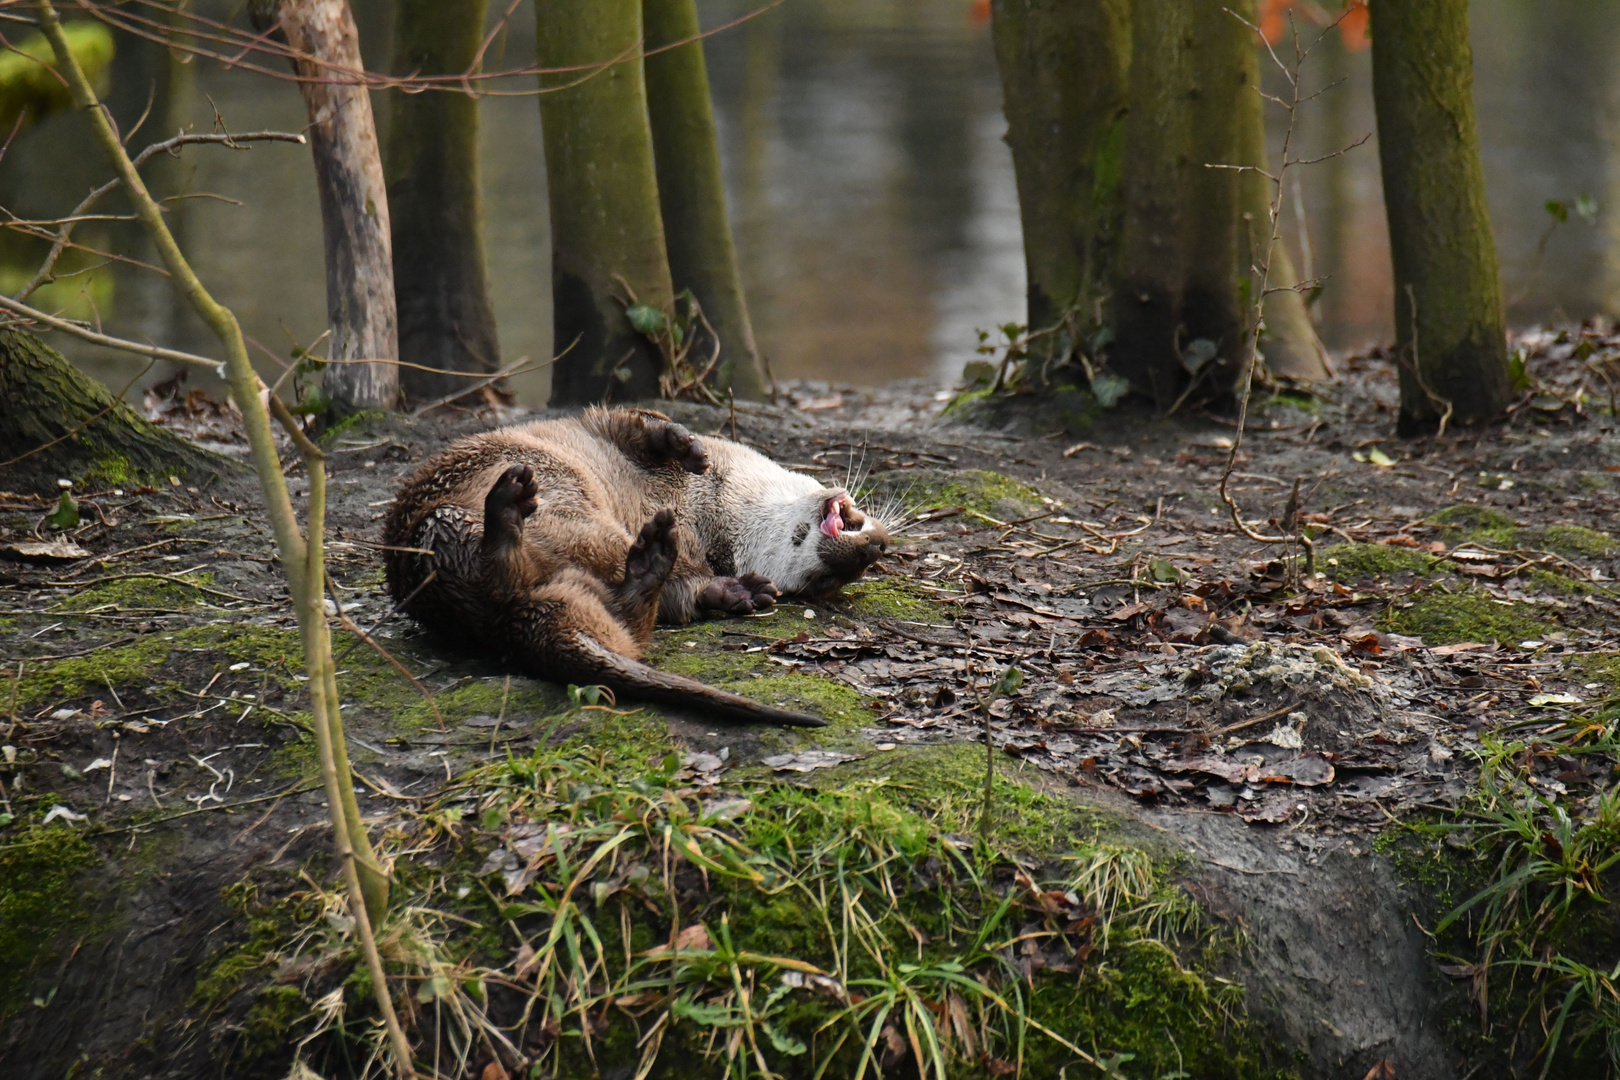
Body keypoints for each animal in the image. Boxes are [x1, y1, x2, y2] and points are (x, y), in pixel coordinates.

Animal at [382, 409, 887, 731]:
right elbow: (634, 422)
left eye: (824, 581)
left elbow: (683, 595)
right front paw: (683, 443)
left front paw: (735, 593)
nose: (874, 549)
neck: (705, 507)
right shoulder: (591, 428)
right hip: (448, 523)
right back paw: (511, 506)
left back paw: (648, 560)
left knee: (627, 616)